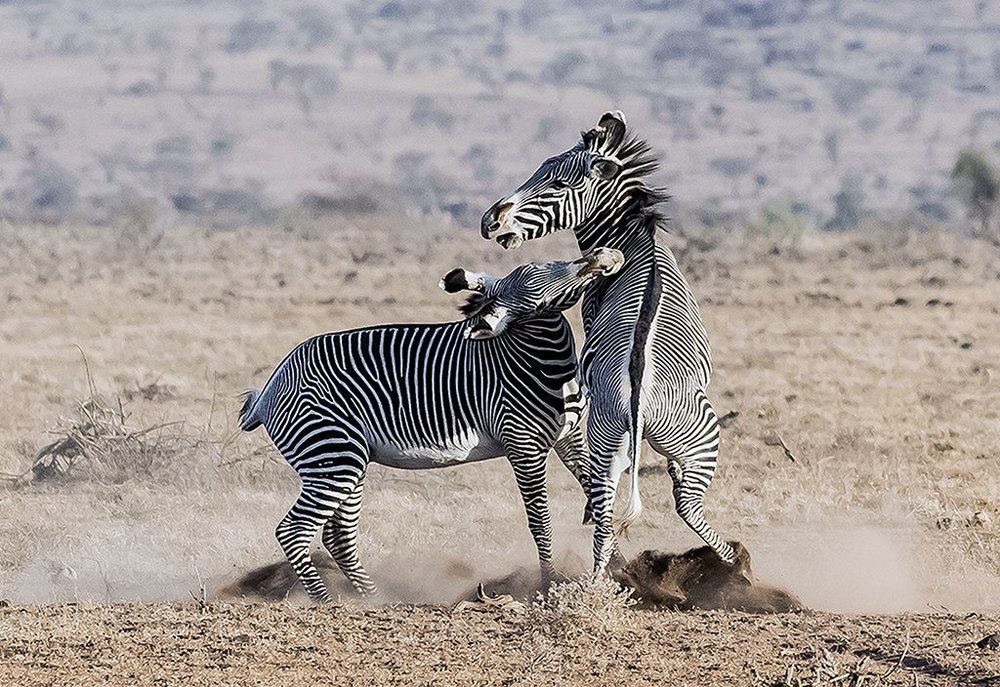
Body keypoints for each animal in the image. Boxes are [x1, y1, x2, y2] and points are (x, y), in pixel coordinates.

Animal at [238, 248, 625, 602]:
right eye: (539, 277)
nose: (606, 254)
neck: (541, 358)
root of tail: (272, 384)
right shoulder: (523, 444)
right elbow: (540, 519)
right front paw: (549, 584)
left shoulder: (568, 437)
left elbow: (597, 494)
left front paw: (616, 566)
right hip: (331, 456)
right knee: (294, 531)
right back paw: (328, 603)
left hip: (345, 460)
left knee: (337, 535)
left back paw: (373, 599)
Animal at [480, 110, 736, 573]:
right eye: (539, 170)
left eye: (557, 184)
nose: (490, 221)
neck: (636, 244)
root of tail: (638, 403)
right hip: (684, 440)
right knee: (675, 505)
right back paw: (732, 565)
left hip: (655, 438)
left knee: (630, 509)